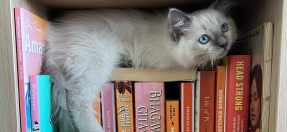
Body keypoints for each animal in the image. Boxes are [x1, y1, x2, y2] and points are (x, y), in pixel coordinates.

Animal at [40, 0, 238, 131]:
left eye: (224, 28)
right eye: (204, 39)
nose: (224, 45)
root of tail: (53, 42)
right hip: (99, 57)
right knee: (77, 101)